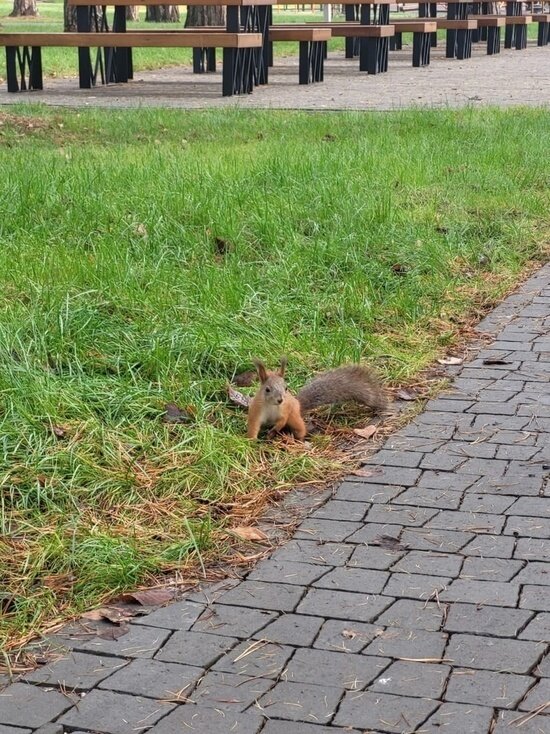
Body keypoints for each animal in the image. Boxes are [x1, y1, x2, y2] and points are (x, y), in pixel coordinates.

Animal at [248, 360, 390, 440]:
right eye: (267, 389)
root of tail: (298, 404)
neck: (272, 406)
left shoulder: (285, 409)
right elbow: (254, 424)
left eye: (286, 388)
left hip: (295, 416)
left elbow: (282, 421)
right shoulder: (257, 410)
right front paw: (251, 440)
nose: (280, 400)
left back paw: (296, 438)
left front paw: (274, 430)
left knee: (299, 428)